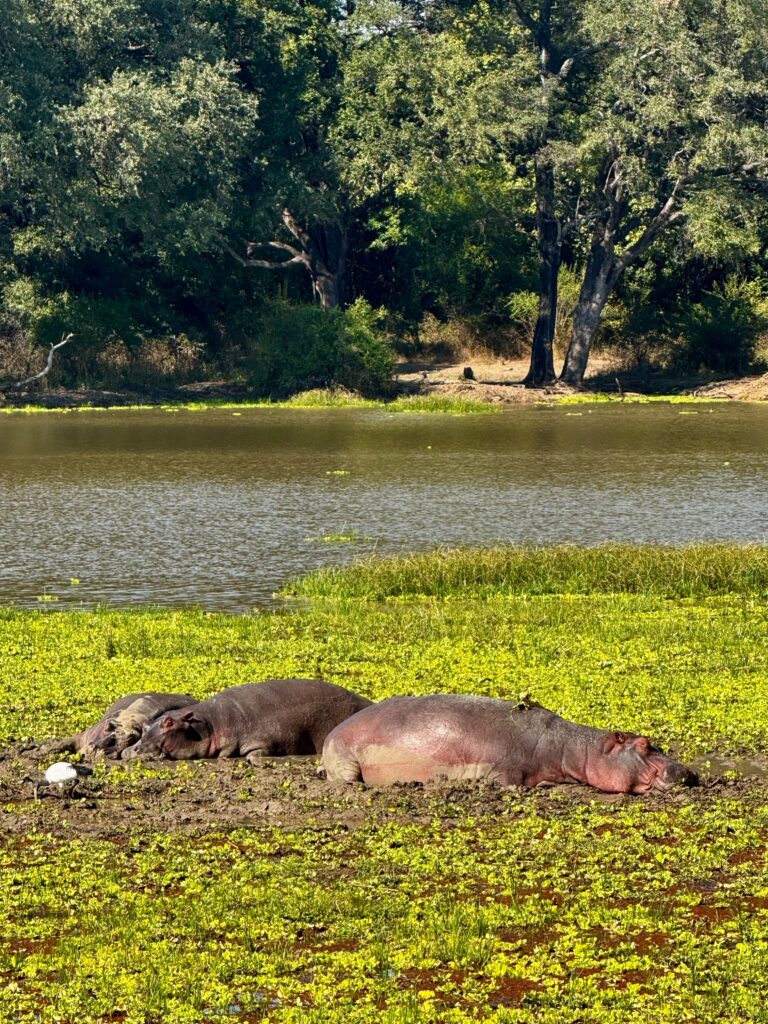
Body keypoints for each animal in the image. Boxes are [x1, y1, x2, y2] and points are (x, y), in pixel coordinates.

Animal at [39, 692, 197, 758]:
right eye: (108, 725)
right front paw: (43, 750)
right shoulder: (86, 735)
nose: (109, 743)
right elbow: (66, 741)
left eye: (134, 737)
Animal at [322, 695, 698, 794]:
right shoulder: (501, 767)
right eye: (645, 745)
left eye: (657, 742)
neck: (575, 748)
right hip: (345, 758)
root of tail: (332, 732)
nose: (687, 771)